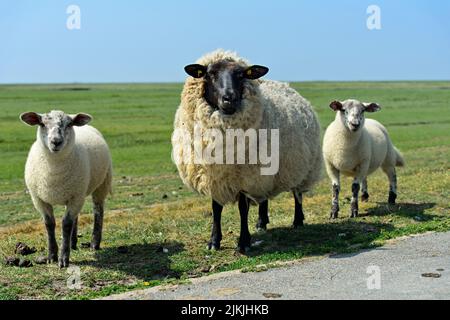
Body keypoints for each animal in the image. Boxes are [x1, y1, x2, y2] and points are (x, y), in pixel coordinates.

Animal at [20, 110, 112, 268]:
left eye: (69, 124)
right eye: (42, 124)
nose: (56, 142)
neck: (53, 172)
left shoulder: (76, 196)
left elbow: (66, 224)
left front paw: (63, 258)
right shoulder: (39, 199)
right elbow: (49, 224)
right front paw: (52, 255)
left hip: (101, 184)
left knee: (98, 211)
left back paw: (94, 243)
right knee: (76, 216)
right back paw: (73, 243)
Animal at [172, 50, 324, 252]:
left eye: (241, 75)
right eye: (210, 73)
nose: (229, 98)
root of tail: (288, 87)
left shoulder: (243, 176)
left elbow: (242, 210)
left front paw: (243, 242)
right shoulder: (215, 175)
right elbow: (216, 209)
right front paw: (214, 241)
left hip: (301, 166)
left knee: (297, 194)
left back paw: (297, 220)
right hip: (264, 172)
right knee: (264, 196)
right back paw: (261, 222)